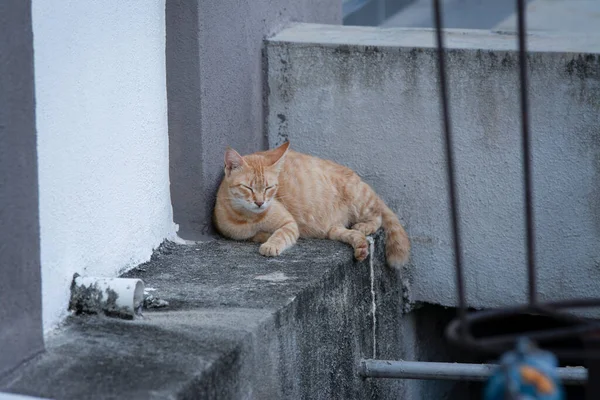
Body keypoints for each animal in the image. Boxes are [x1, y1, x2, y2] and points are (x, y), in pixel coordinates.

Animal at [213, 141, 410, 268]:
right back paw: (360, 246)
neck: (248, 218)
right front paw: (263, 236)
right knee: (345, 232)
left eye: (269, 188)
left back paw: (364, 227)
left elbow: (281, 235)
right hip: (332, 228)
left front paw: (271, 244)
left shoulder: (289, 224)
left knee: (377, 216)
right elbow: (256, 235)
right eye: (248, 188)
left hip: (360, 200)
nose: (260, 202)